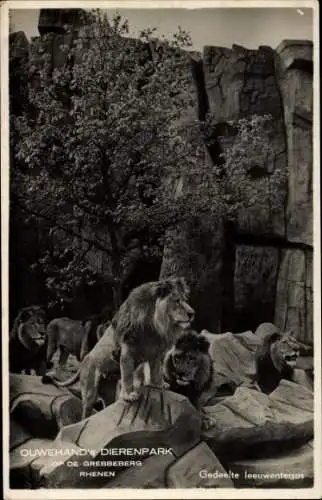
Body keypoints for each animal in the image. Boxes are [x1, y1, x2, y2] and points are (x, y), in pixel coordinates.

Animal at [41, 278, 195, 418]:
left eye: (185, 300)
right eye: (177, 301)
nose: (192, 313)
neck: (155, 324)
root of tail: (83, 362)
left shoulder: (155, 353)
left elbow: (156, 371)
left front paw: (159, 385)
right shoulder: (126, 352)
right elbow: (127, 376)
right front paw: (128, 395)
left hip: (108, 391)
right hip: (90, 391)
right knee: (86, 411)